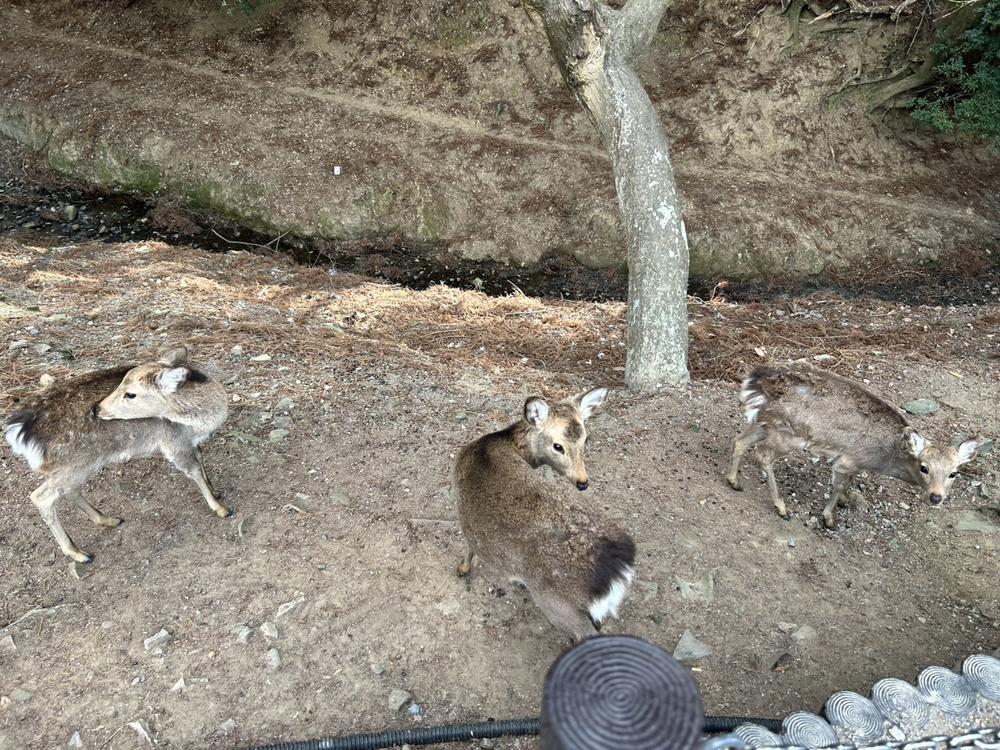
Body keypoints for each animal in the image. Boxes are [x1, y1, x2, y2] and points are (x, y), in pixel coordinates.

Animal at [4, 346, 230, 563]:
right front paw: (221, 508)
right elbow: (194, 470)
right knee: (41, 496)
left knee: (69, 490)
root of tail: (18, 432)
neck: (202, 420)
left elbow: (201, 460)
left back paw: (108, 520)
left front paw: (216, 491)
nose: (97, 408)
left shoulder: (192, 442)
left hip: (80, 464)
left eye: (130, 394)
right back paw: (79, 553)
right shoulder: (174, 442)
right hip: (74, 463)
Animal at [454, 387, 635, 642]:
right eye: (558, 446)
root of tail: (618, 571)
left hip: (556, 602)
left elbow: (469, 545)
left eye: (585, 439)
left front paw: (462, 569)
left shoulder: (462, 509)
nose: (583, 482)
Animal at [726, 362, 981, 529]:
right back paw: (781, 507)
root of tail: (757, 381)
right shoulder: (849, 460)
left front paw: (845, 501)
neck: (884, 459)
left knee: (740, 439)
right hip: (790, 433)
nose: (936, 497)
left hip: (767, 421)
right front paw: (828, 518)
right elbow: (838, 485)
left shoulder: (854, 465)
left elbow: (847, 484)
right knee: (763, 456)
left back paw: (734, 481)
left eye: (954, 473)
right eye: (924, 467)